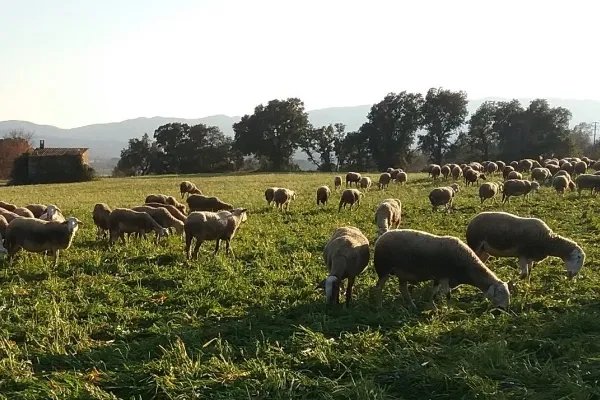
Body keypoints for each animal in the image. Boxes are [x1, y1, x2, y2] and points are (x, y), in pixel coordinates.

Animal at [372, 228, 508, 310]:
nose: (502, 310)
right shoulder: (444, 276)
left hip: (403, 272)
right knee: (378, 288)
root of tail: (381, 237)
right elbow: (446, 294)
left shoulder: (437, 276)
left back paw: (412, 306)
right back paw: (379, 306)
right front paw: (445, 308)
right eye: (500, 293)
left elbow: (434, 291)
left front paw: (432, 305)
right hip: (384, 268)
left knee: (403, 289)